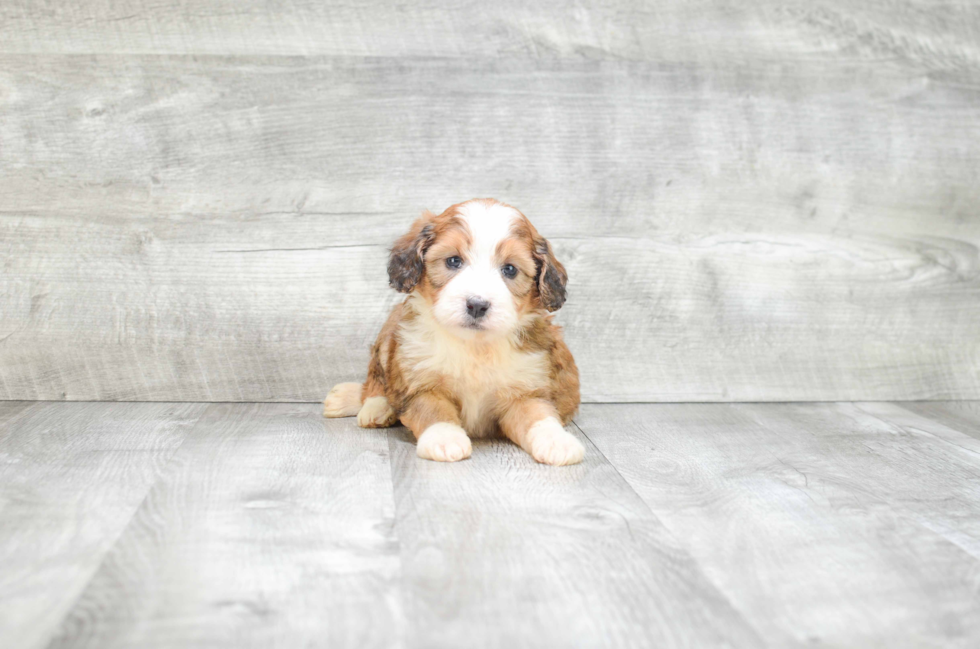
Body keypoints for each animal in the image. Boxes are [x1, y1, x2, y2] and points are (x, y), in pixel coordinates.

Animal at [322, 197, 580, 466]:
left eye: (510, 269)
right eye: (453, 261)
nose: (477, 305)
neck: (474, 346)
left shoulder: (524, 392)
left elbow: (539, 414)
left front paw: (556, 441)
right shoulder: (420, 384)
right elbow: (434, 410)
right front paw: (444, 438)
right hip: (390, 331)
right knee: (376, 380)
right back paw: (373, 406)